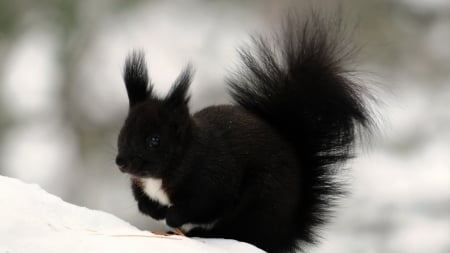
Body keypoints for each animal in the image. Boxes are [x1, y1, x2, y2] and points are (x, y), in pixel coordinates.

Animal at [115, 11, 372, 253]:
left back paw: (199, 233)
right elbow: (143, 202)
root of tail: (286, 231)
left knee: (241, 232)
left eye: (154, 140)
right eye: (123, 133)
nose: (121, 162)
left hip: (259, 202)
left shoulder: (213, 180)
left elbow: (202, 205)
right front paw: (154, 210)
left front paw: (171, 217)